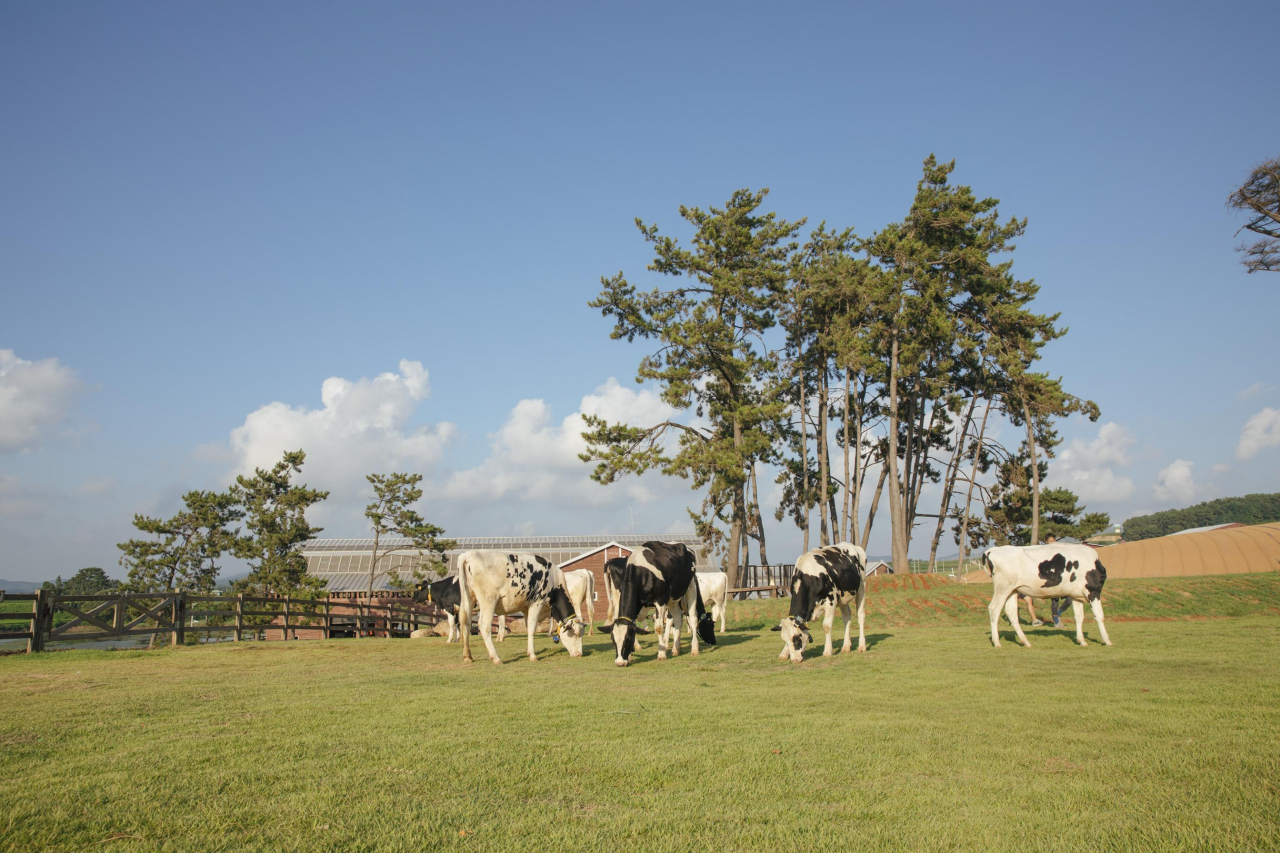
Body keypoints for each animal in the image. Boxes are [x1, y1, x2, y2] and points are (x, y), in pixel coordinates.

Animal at [455, 548, 586, 660]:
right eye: (575, 633)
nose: (579, 654)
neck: (554, 581)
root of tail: (468, 554)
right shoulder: (537, 602)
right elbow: (532, 628)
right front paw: (533, 656)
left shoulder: (525, 608)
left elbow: (528, 628)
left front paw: (529, 651)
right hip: (488, 600)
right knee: (484, 625)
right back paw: (495, 657)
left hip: (468, 599)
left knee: (466, 624)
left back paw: (468, 656)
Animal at [606, 537, 716, 666]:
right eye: (613, 641)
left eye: (627, 640)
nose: (619, 663)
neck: (641, 572)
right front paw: (628, 657)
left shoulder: (660, 600)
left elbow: (659, 628)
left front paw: (662, 654)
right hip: (674, 598)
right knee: (678, 619)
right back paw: (675, 649)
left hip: (691, 587)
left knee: (693, 618)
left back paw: (694, 649)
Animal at [977, 540, 1111, 648]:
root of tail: (992, 550)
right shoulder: (1093, 591)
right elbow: (1099, 615)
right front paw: (1107, 640)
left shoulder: (1075, 595)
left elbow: (1079, 617)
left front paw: (1082, 641)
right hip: (1003, 588)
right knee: (994, 609)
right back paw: (997, 642)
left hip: (1012, 590)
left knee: (1011, 612)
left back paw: (1025, 641)